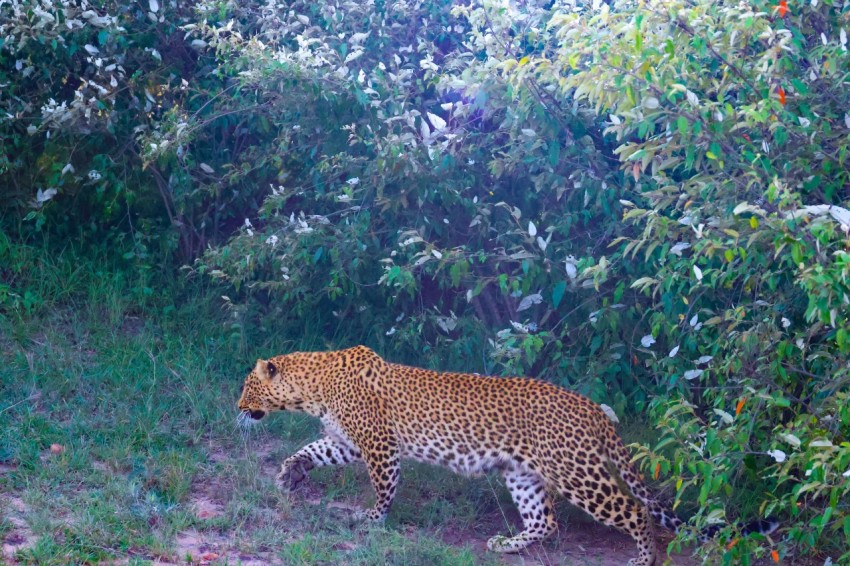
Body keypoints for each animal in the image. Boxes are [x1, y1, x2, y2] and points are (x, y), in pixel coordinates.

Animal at [237, 345, 774, 565]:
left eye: (246, 387)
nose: (237, 408)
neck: (311, 387)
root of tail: (591, 408)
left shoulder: (379, 444)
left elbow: (384, 486)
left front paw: (371, 520)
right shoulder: (347, 440)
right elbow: (311, 449)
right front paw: (289, 475)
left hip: (578, 473)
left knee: (636, 511)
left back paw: (643, 560)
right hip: (523, 474)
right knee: (545, 521)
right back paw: (506, 545)